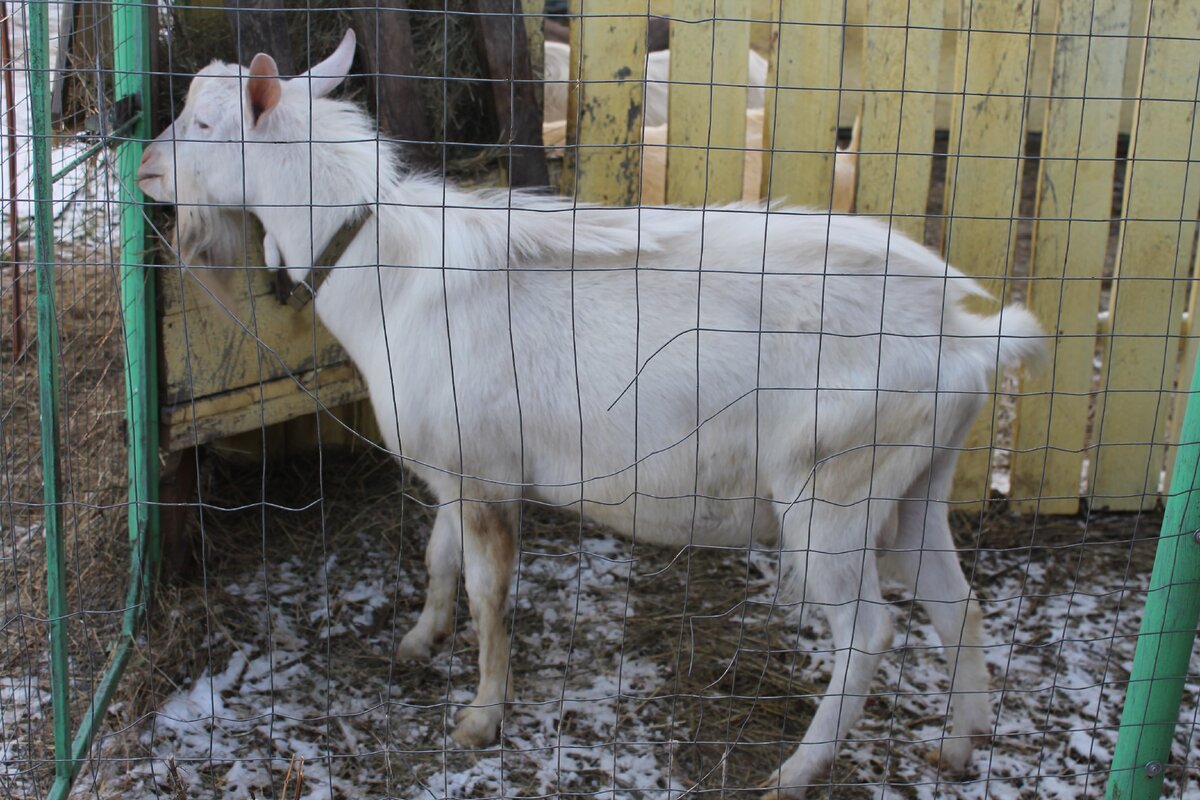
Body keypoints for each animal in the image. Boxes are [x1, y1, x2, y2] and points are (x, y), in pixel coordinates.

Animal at [138, 28, 1041, 796]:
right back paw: (960, 745)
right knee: (959, 605)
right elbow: (437, 556)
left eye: (206, 121)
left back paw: (795, 769)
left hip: (833, 489)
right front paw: (419, 640)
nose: (145, 168)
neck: (386, 266)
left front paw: (480, 716)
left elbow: (488, 590)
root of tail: (969, 338)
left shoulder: (484, 475)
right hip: (914, 478)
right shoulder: (458, 459)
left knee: (868, 632)